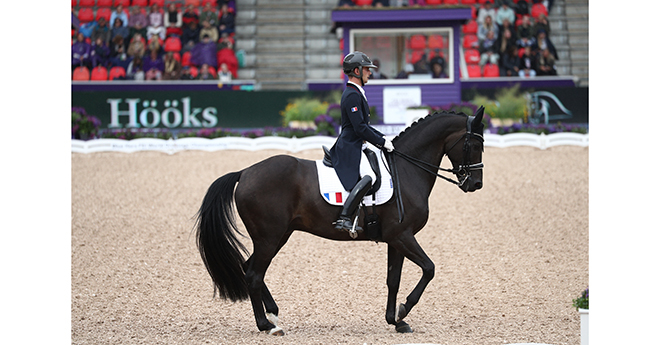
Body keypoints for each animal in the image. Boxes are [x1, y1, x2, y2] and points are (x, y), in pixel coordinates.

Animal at [193, 107, 488, 334]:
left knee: (250, 268)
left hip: (278, 236)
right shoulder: (403, 236)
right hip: (269, 237)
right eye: (475, 145)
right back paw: (267, 325)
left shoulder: (396, 238)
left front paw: (395, 321)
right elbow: (429, 268)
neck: (406, 169)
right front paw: (404, 310)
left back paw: (273, 314)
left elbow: (393, 279)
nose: (475, 184)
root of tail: (244, 172)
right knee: (253, 274)